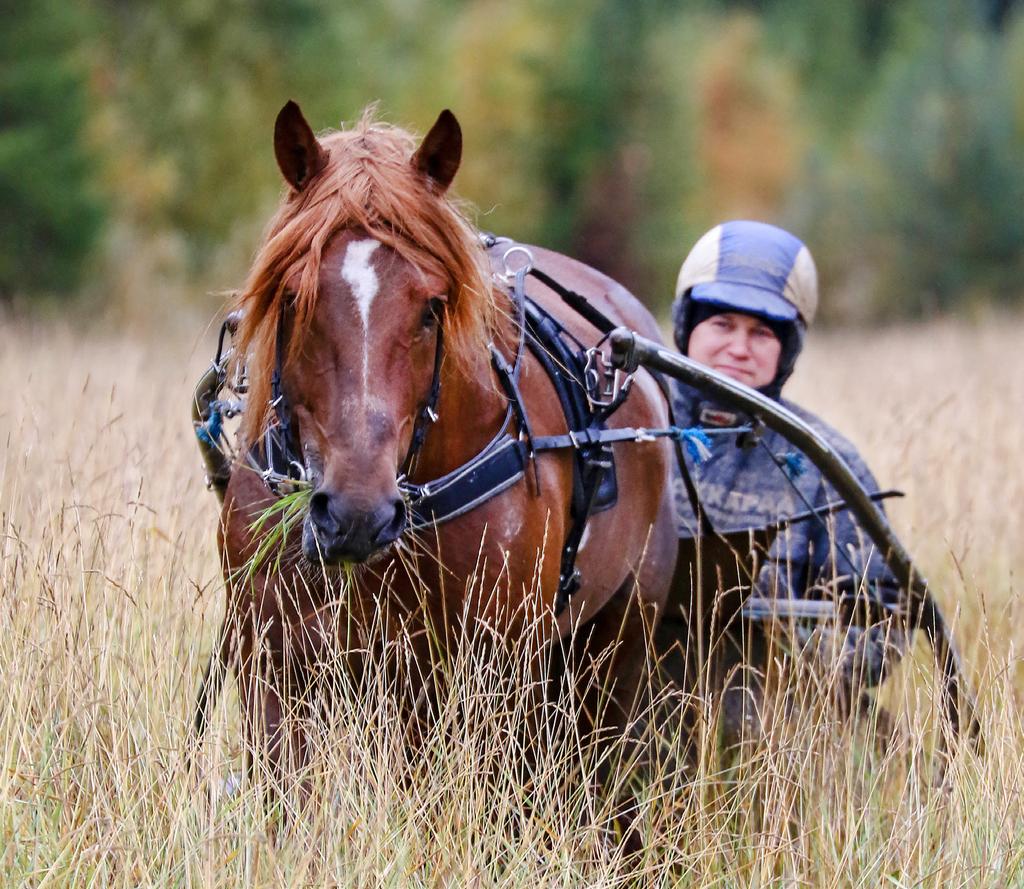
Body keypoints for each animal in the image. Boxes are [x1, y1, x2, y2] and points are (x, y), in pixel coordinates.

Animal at [216, 102, 679, 790]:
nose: (356, 513)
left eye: (431, 309)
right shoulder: (275, 668)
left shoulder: (461, 682)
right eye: (294, 297)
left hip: (615, 643)